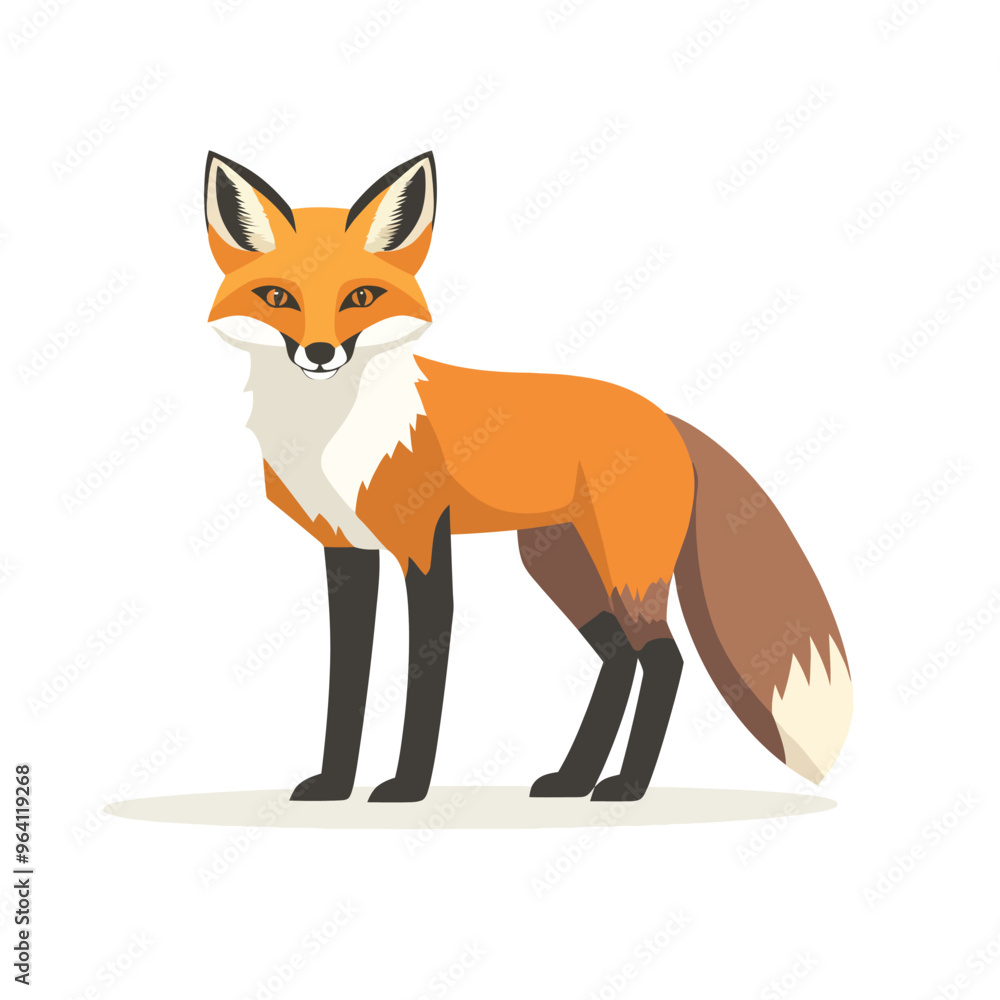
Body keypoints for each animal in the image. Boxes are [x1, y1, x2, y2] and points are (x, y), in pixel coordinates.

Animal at [203, 149, 852, 803]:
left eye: (361, 296)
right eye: (277, 296)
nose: (319, 353)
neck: (333, 434)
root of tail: (664, 417)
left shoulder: (423, 544)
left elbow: (424, 672)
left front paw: (408, 786)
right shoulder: (346, 549)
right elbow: (347, 677)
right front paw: (335, 785)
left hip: (625, 574)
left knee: (665, 660)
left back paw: (625, 785)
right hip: (559, 565)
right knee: (619, 657)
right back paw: (575, 778)